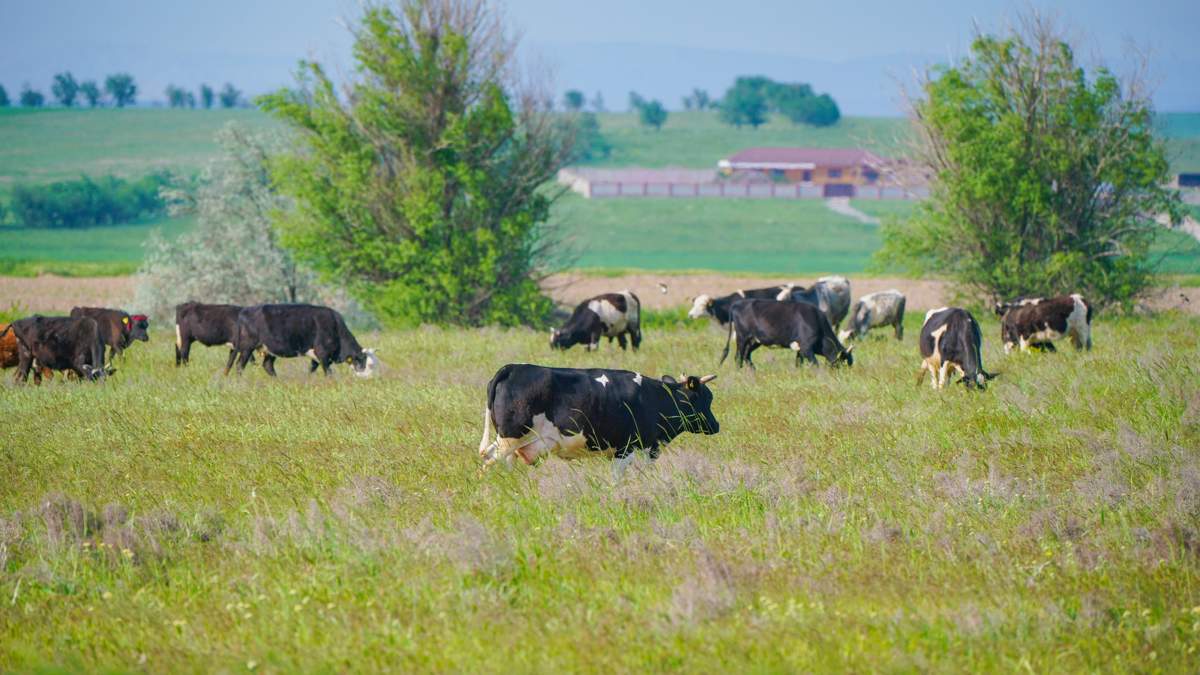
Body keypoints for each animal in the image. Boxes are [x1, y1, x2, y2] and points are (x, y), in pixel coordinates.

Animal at [225, 302, 374, 374]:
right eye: (364, 362)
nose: (365, 375)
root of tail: (244, 311)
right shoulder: (323, 353)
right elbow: (328, 371)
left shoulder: (316, 356)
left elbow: (312, 369)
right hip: (247, 347)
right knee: (240, 365)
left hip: (269, 349)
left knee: (267, 365)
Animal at [477, 362, 720, 473]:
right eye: (706, 398)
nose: (716, 425)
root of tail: (513, 367)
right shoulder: (627, 448)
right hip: (511, 437)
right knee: (488, 462)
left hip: (510, 441)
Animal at [720, 296, 854, 367]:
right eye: (843, 362)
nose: (844, 377)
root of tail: (738, 303)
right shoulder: (806, 347)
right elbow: (815, 364)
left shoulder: (801, 349)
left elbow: (798, 363)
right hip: (742, 337)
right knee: (739, 357)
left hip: (755, 340)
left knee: (746, 356)